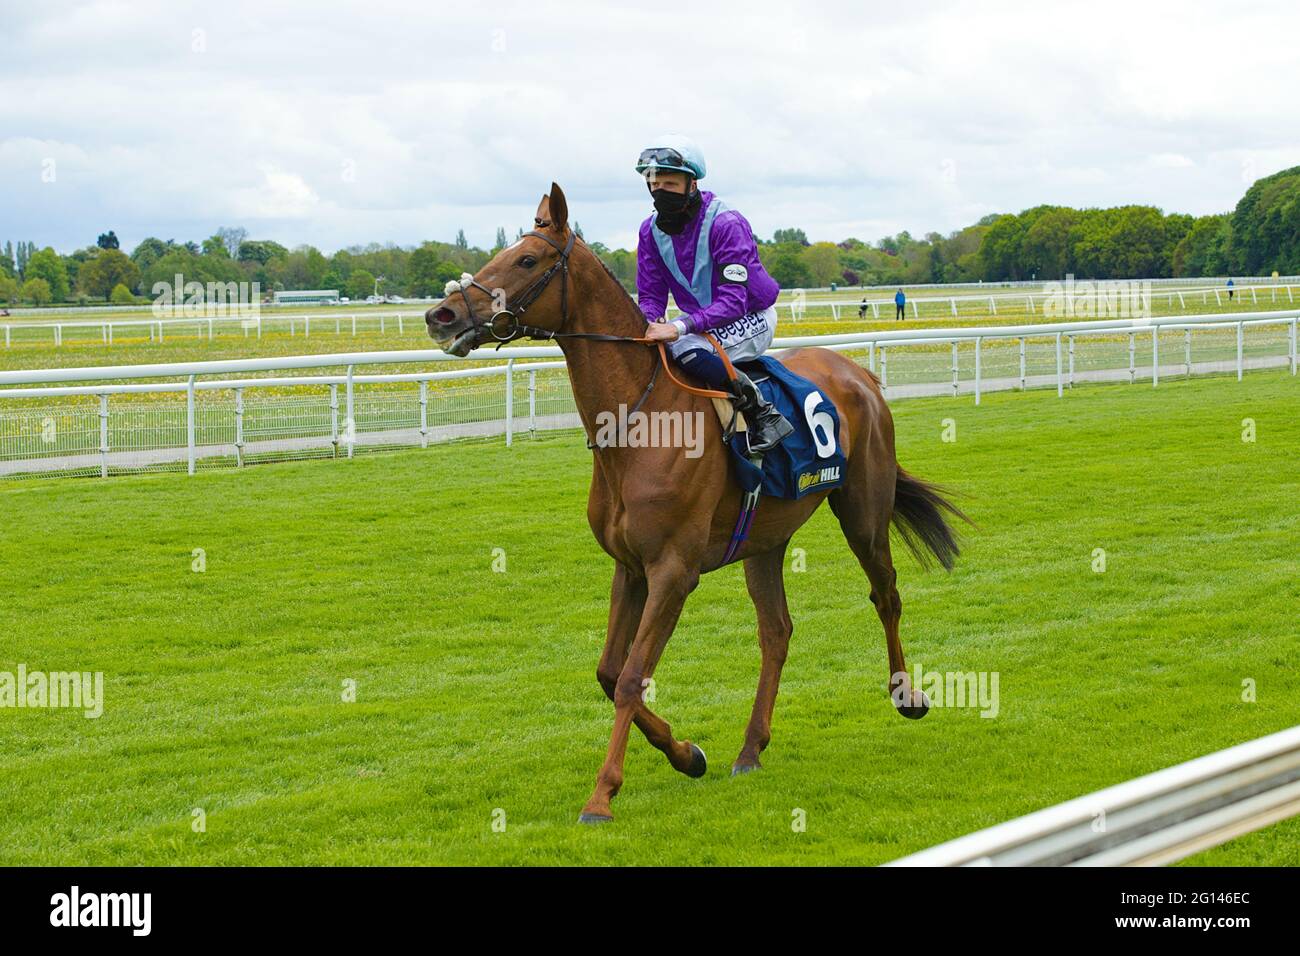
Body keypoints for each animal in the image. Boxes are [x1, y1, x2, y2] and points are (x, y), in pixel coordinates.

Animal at [426, 184, 967, 822]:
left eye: (527, 260)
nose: (441, 315)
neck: (638, 426)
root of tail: (859, 373)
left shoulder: (673, 571)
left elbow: (632, 677)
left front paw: (602, 794)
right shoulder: (631, 567)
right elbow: (608, 672)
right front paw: (688, 754)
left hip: (863, 511)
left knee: (886, 595)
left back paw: (907, 695)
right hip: (765, 539)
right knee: (776, 632)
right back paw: (750, 748)